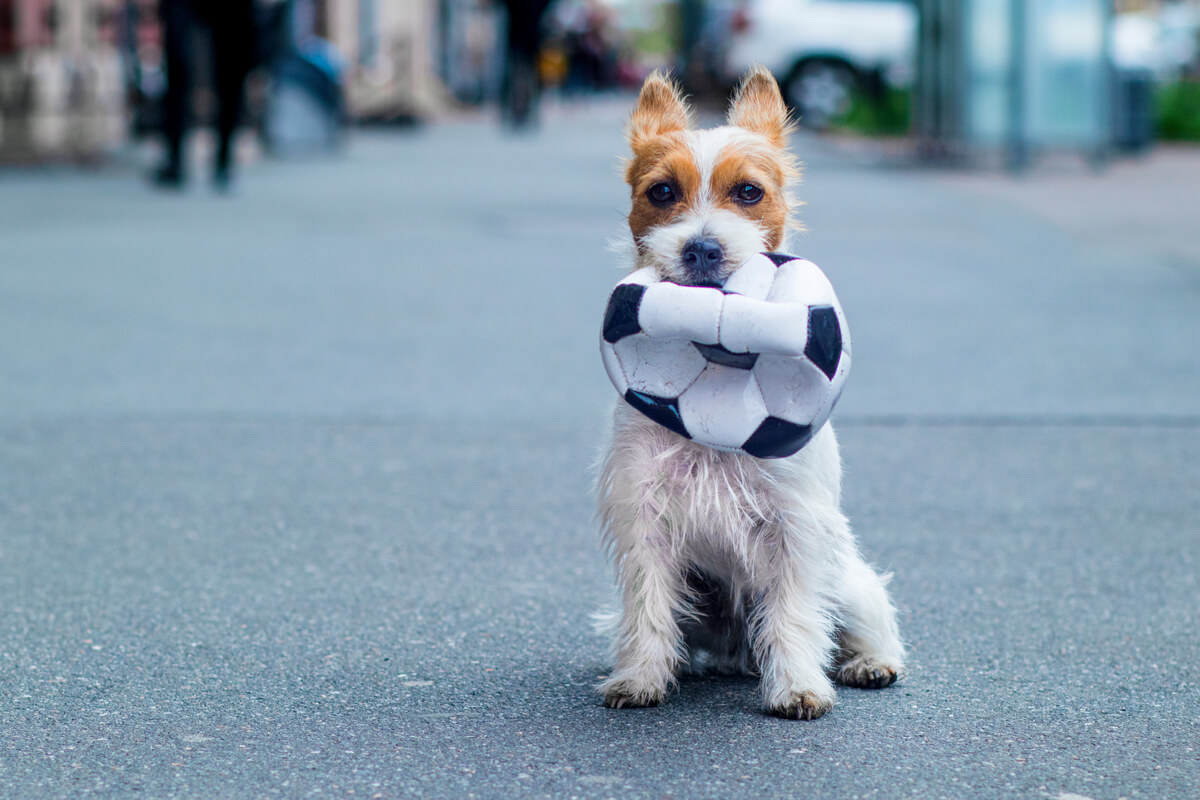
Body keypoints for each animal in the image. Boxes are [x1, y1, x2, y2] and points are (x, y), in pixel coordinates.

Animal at [595, 67, 902, 719]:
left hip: (848, 576)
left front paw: (797, 687)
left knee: (866, 616)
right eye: (662, 192)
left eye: (749, 192)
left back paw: (869, 662)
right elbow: (647, 604)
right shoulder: (644, 517)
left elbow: (794, 613)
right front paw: (639, 677)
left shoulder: (795, 525)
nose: (703, 248)